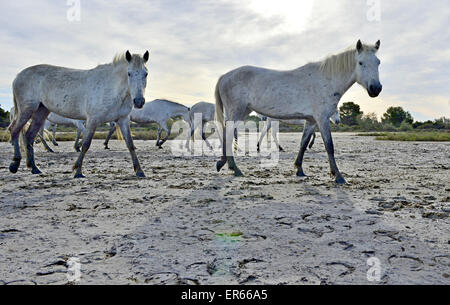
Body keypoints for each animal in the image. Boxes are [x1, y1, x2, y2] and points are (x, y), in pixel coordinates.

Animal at [8, 50, 149, 177]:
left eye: (146, 74)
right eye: (129, 73)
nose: (139, 101)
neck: (112, 88)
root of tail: (18, 76)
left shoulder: (123, 120)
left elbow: (130, 144)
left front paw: (139, 171)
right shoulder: (92, 120)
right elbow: (86, 144)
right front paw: (78, 171)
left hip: (41, 112)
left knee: (29, 136)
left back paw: (34, 167)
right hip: (27, 110)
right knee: (15, 130)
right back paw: (15, 164)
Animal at [216, 40, 382, 183]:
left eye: (378, 62)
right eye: (361, 63)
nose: (376, 88)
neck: (326, 80)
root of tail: (224, 76)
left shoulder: (311, 121)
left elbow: (303, 143)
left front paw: (299, 169)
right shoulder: (322, 119)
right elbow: (329, 146)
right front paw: (338, 176)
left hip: (243, 112)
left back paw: (225, 164)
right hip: (237, 112)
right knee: (229, 135)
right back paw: (234, 168)